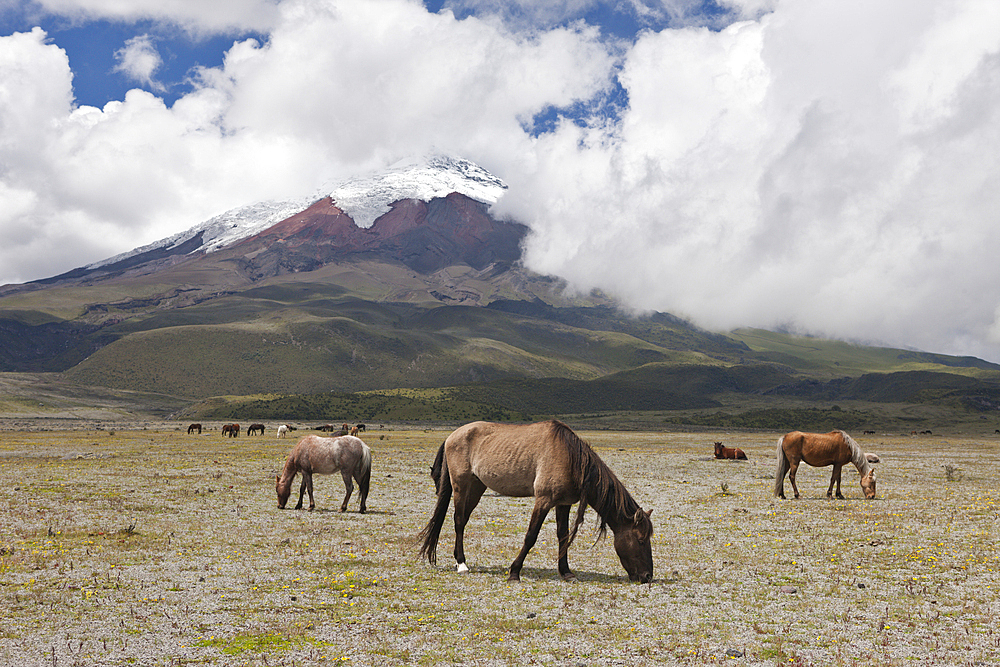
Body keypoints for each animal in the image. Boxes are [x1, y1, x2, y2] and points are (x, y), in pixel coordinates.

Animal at [416, 422, 656, 584]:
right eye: (641, 540)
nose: (647, 576)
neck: (570, 458)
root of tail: (452, 435)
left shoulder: (563, 503)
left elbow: (563, 537)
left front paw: (566, 572)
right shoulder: (543, 500)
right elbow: (531, 536)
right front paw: (514, 572)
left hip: (477, 486)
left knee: (463, 520)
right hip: (461, 484)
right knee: (458, 521)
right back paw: (462, 564)